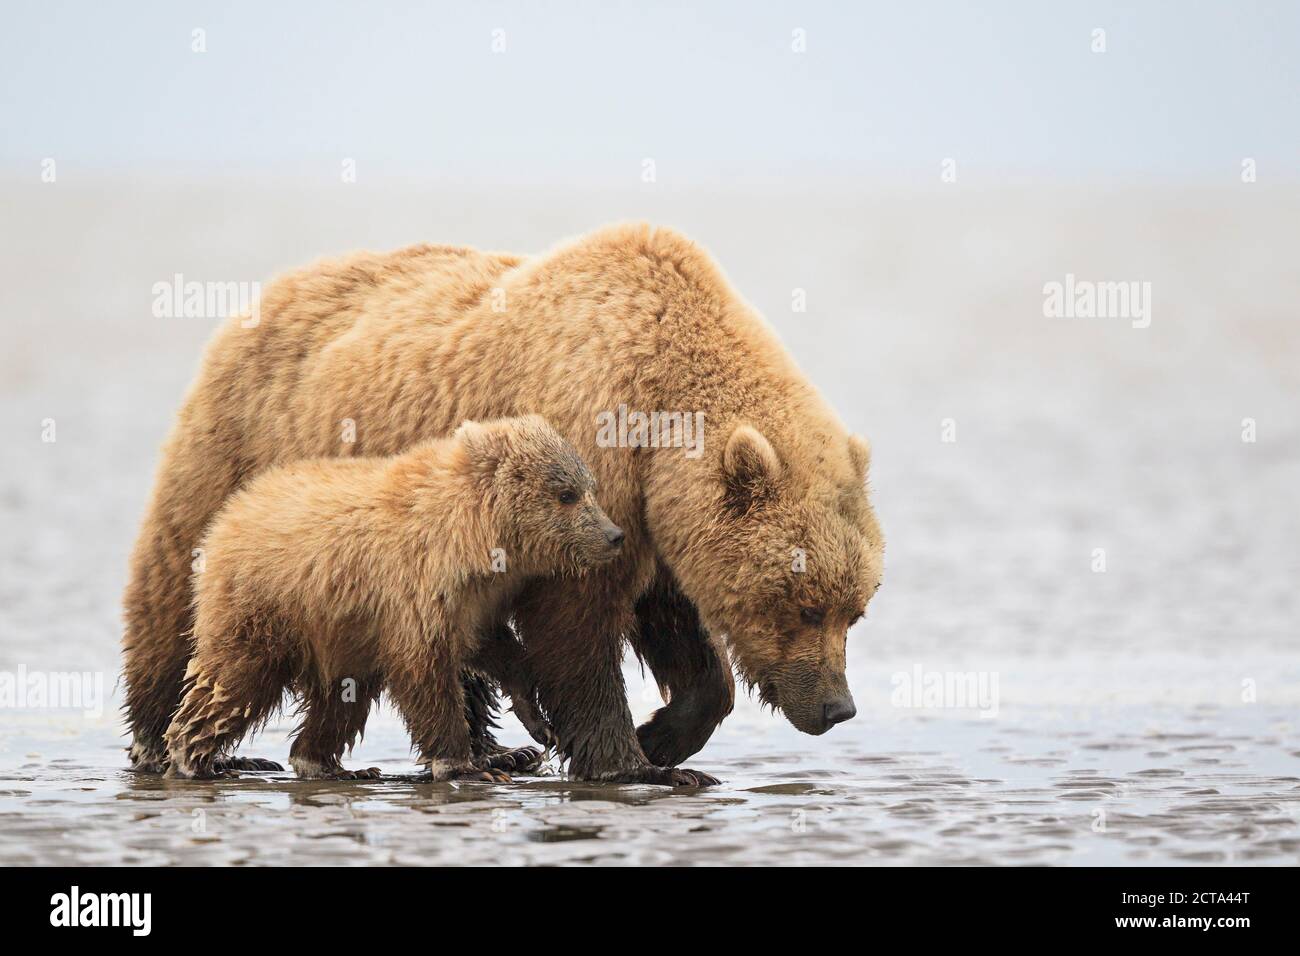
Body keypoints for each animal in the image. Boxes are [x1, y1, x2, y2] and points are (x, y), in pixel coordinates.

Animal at [163, 415, 624, 780]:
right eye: (566, 494)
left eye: (590, 487)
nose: (614, 535)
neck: (476, 537)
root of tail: (230, 512)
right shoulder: (412, 588)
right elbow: (425, 673)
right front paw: (467, 764)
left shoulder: (475, 600)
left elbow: (496, 650)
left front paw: (538, 724)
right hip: (267, 607)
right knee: (236, 681)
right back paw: (200, 758)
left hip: (341, 636)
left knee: (342, 700)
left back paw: (328, 764)